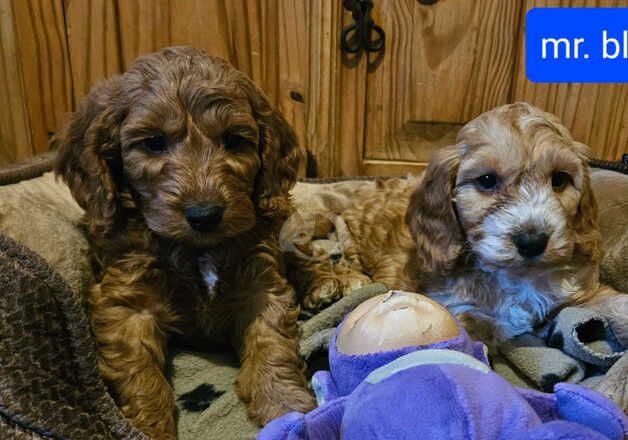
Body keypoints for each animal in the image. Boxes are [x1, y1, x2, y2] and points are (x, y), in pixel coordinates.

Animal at [54, 46, 316, 438]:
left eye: (234, 140)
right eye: (153, 142)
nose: (204, 214)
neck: (197, 250)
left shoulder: (260, 283)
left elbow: (272, 343)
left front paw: (287, 407)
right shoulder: (126, 304)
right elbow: (140, 374)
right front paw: (148, 428)